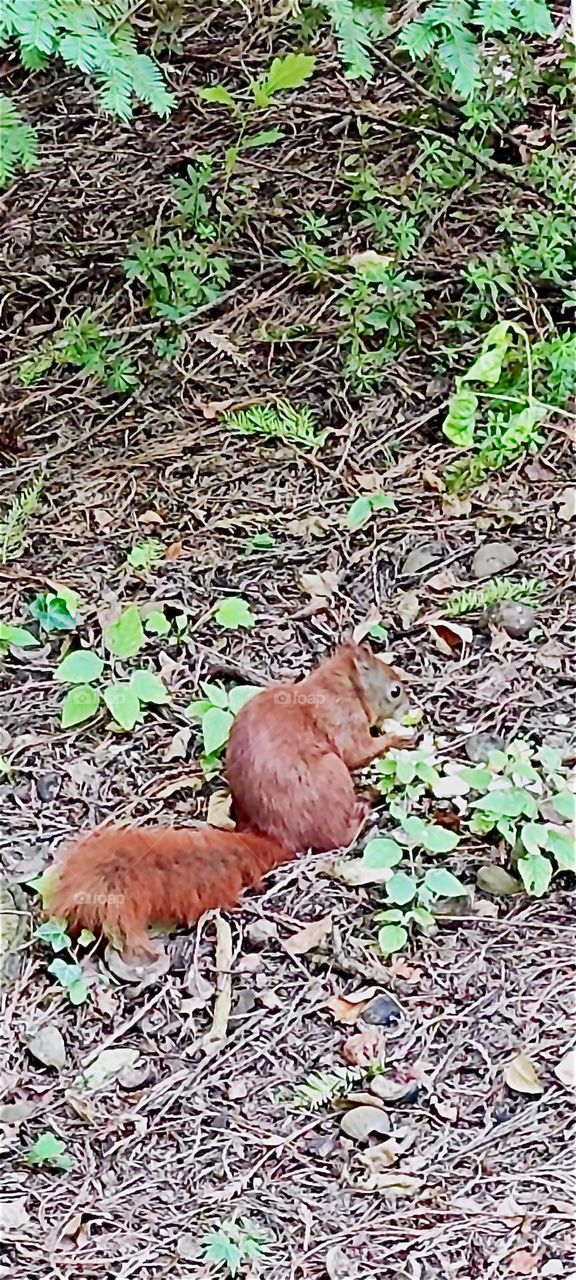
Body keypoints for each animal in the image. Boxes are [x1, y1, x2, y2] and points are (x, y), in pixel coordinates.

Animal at [45, 643, 411, 959]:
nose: (409, 704)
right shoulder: (343, 720)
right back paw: (362, 812)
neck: (342, 686)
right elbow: (358, 751)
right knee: (337, 836)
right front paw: (400, 738)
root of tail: (277, 833)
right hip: (332, 775)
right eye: (395, 690)